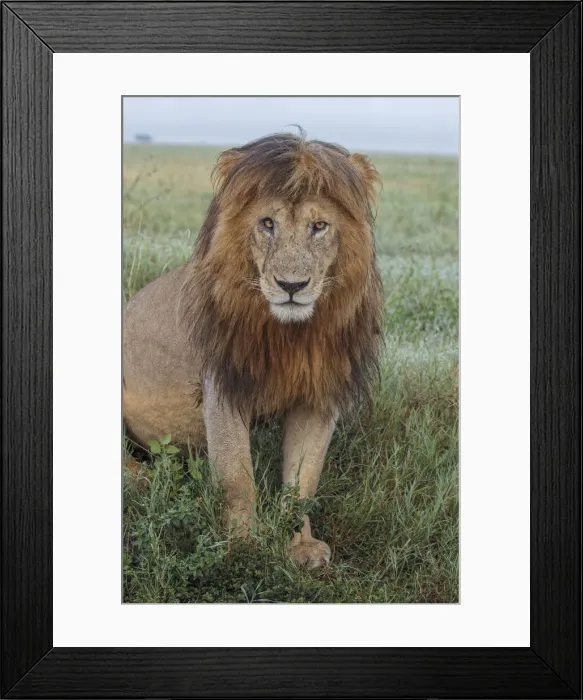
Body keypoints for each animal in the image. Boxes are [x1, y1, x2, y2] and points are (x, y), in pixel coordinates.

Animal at [123, 131, 383, 568]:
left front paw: (300, 546)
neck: (290, 334)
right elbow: (236, 474)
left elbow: (303, 479)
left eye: (318, 226)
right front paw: (244, 545)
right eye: (267, 223)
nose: (292, 286)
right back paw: (146, 478)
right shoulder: (222, 385)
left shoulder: (319, 394)